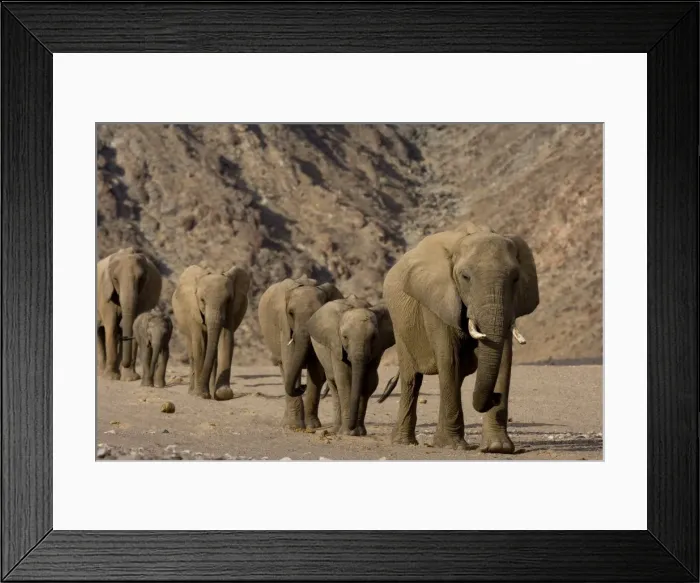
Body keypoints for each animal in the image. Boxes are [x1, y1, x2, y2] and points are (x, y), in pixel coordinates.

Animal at [97, 247, 163, 381]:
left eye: (141, 279)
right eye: (115, 279)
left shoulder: (144, 295)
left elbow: (135, 325)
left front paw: (130, 378)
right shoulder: (105, 293)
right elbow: (111, 326)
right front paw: (111, 377)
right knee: (100, 331)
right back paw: (102, 374)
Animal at [171, 264, 250, 400]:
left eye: (228, 300)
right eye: (202, 300)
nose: (202, 393)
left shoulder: (231, 310)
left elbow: (225, 339)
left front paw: (223, 394)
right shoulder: (193, 311)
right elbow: (200, 344)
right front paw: (200, 394)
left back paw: (212, 392)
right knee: (193, 352)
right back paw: (192, 392)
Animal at [258, 275, 343, 430]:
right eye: (291, 313)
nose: (302, 387)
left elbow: (316, 369)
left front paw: (312, 426)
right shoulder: (284, 325)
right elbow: (288, 361)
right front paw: (294, 426)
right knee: (285, 368)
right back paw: (286, 423)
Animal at [308, 296, 395, 436]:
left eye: (374, 337)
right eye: (344, 337)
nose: (351, 426)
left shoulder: (377, 348)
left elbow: (369, 382)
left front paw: (359, 433)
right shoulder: (336, 345)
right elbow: (344, 380)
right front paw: (348, 433)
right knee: (334, 384)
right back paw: (336, 430)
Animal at [381, 221, 539, 453]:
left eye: (515, 278)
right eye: (465, 277)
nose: (495, 397)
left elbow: (503, 360)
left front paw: (497, 448)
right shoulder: (437, 301)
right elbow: (449, 359)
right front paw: (452, 446)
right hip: (400, 325)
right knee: (412, 379)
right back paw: (404, 442)